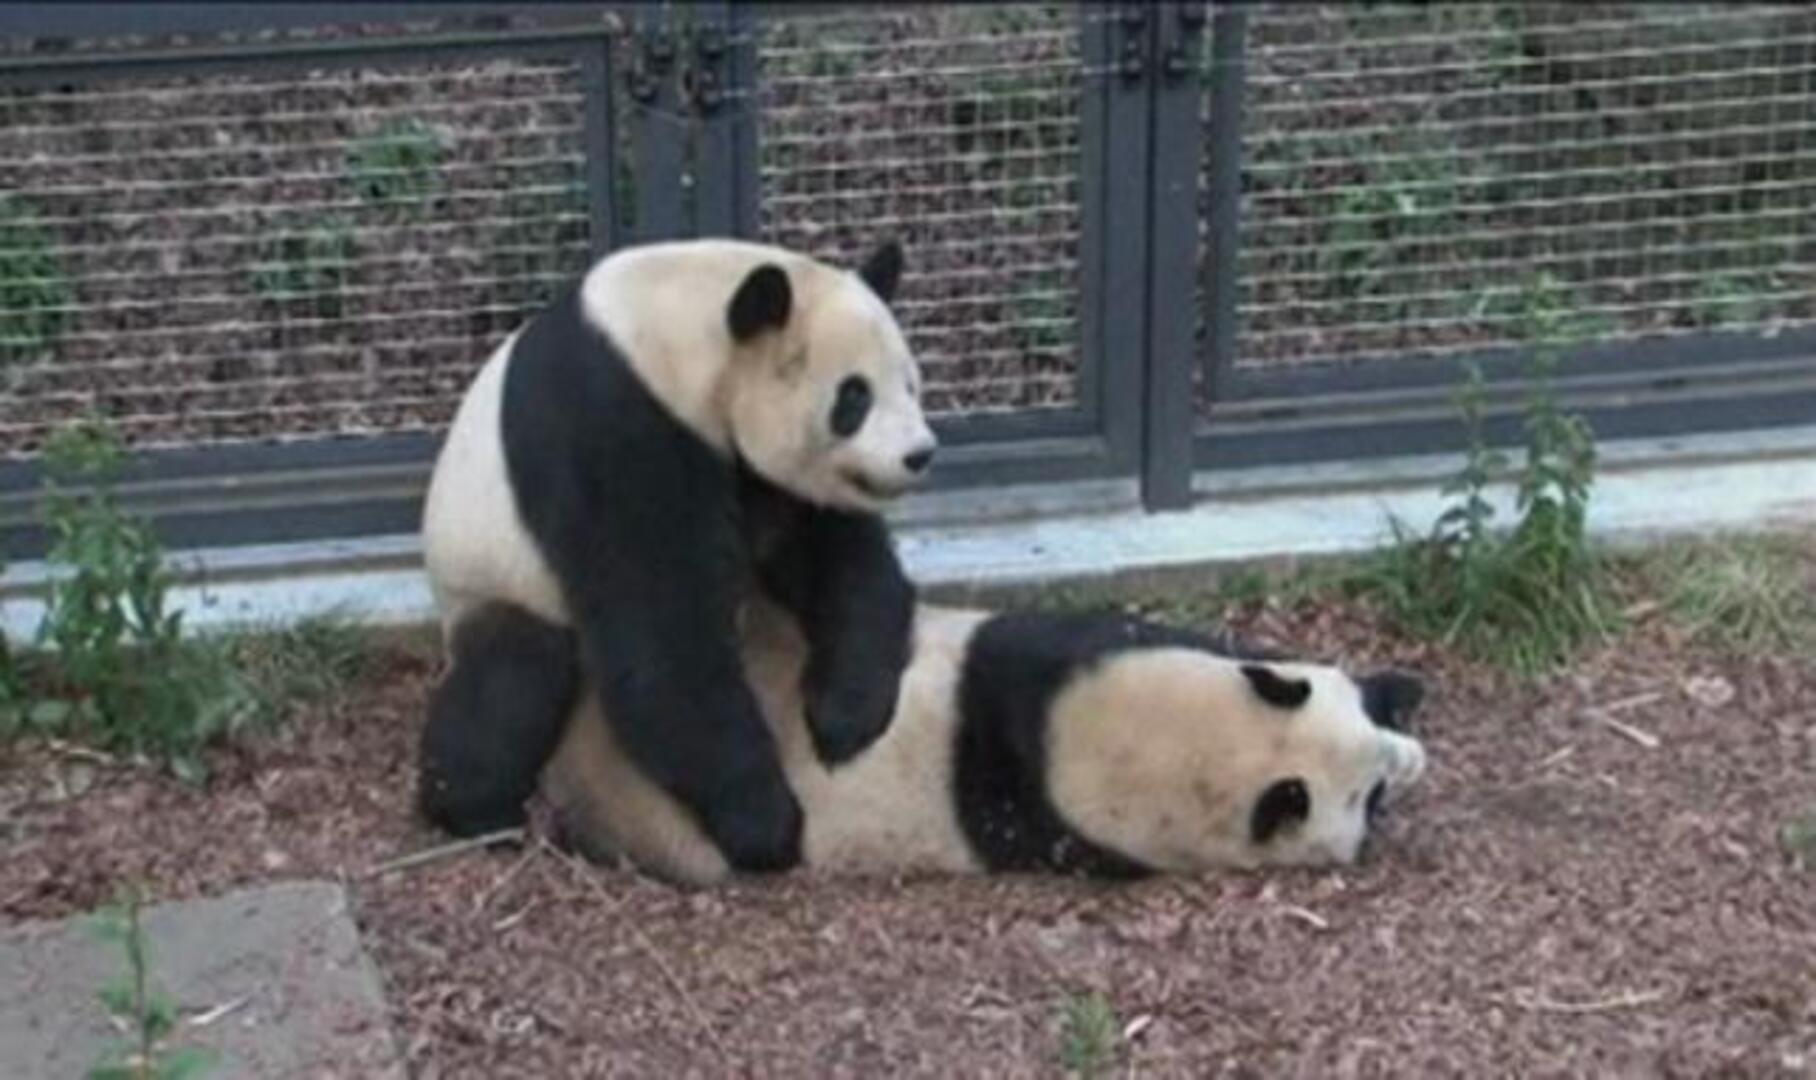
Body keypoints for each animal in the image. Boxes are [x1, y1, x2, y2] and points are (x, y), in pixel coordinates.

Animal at [417, 238, 938, 874]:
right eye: (854, 396)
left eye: (910, 384)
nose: (919, 454)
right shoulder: (610, 427)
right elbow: (661, 631)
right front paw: (765, 823)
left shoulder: (763, 472)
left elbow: (833, 557)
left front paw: (846, 715)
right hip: (493, 572)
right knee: (512, 679)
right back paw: (475, 809)